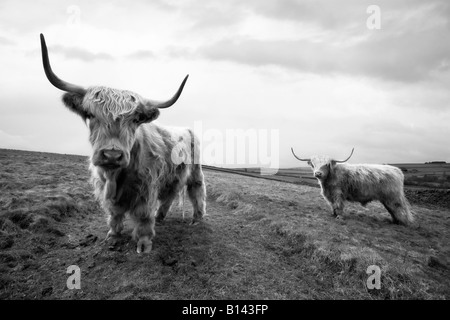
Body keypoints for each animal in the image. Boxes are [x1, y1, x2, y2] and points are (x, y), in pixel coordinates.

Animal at [40, 34, 206, 252]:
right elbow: (115, 212)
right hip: (173, 176)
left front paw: (144, 243)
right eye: (90, 114)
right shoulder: (106, 187)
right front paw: (113, 235)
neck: (117, 176)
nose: (112, 155)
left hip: (195, 171)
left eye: (135, 120)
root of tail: (187, 129)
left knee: (197, 191)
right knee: (169, 196)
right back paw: (161, 216)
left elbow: (144, 216)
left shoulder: (146, 188)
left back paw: (197, 219)